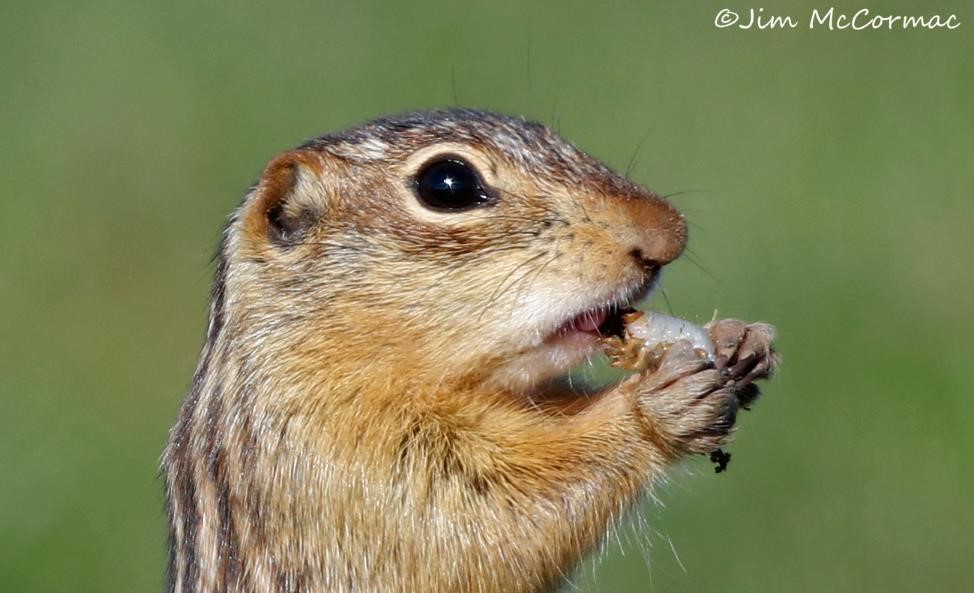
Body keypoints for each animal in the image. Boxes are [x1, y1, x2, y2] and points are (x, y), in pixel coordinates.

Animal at [163, 109, 778, 593]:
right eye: (448, 184)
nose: (668, 234)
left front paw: (738, 340)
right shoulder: (327, 461)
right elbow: (486, 523)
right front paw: (655, 407)